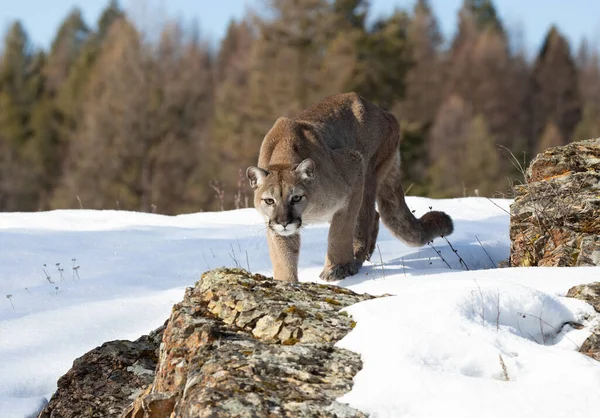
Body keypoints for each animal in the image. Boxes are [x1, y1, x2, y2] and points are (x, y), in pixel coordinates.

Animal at [246, 91, 452, 280]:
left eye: (296, 197)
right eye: (269, 201)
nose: (284, 222)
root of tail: (385, 113)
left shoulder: (353, 166)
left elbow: (340, 232)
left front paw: (337, 267)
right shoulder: (273, 225)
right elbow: (283, 254)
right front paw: (286, 282)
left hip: (369, 173)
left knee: (368, 216)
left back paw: (357, 256)